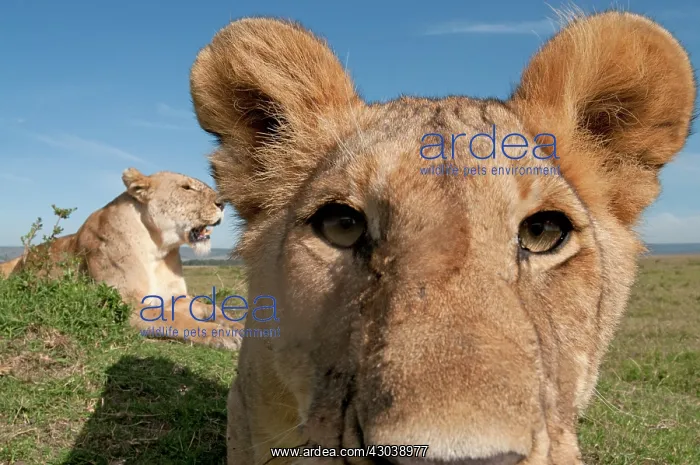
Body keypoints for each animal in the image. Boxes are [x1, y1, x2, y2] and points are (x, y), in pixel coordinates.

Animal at [0, 168, 243, 350]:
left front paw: (237, 324)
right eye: (186, 188)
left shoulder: (176, 298)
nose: (223, 203)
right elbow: (175, 319)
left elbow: (211, 308)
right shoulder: (124, 304)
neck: (158, 248)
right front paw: (222, 335)